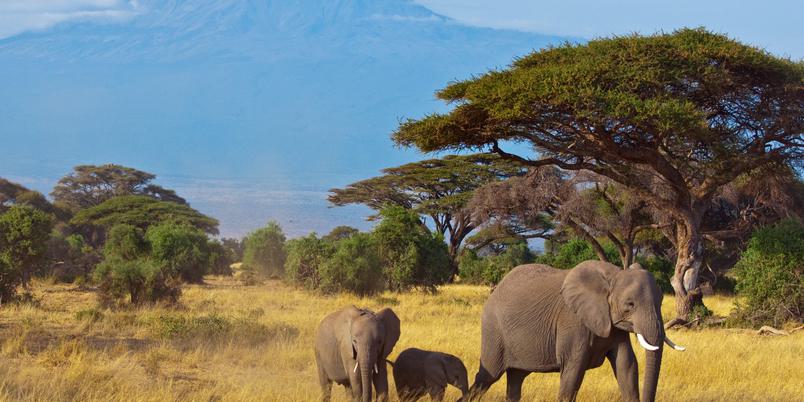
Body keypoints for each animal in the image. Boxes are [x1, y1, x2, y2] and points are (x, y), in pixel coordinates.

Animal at [467, 261, 686, 402]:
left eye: (661, 301)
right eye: (629, 305)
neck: (612, 276)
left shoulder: (614, 326)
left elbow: (626, 365)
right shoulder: (572, 320)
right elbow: (573, 368)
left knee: (515, 380)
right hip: (493, 330)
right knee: (487, 377)